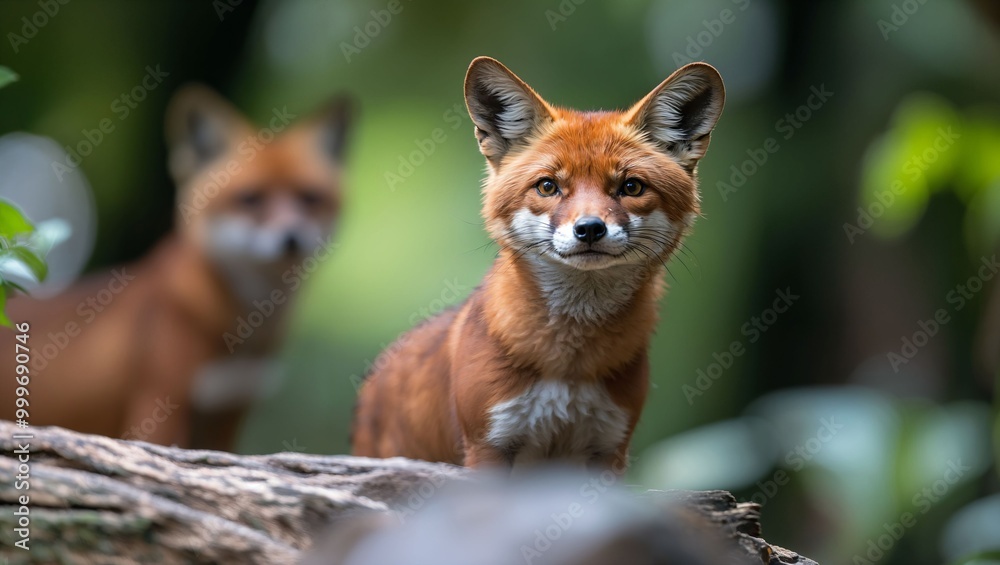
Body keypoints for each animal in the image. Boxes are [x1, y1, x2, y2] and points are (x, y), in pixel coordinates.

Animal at [0, 85, 352, 450]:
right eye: (250, 198)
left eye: (310, 197)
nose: (292, 237)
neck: (243, 332)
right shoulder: (160, 406)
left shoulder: (227, 411)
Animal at [352, 57, 725, 470]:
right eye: (548, 186)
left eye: (631, 187)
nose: (589, 229)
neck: (569, 367)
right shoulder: (489, 444)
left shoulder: (608, 448)